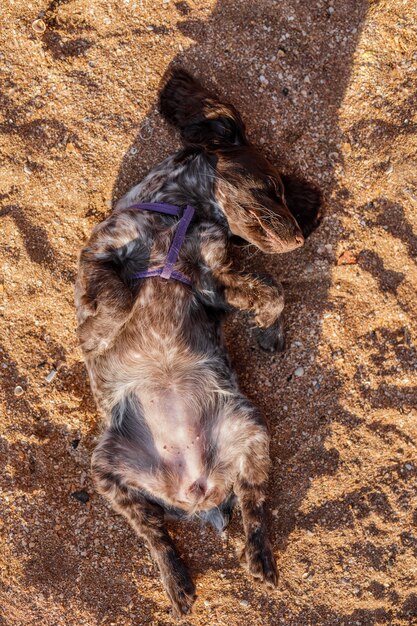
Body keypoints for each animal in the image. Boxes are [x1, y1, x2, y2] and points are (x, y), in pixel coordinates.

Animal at [75, 69, 320, 616]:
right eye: (272, 187)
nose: (300, 237)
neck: (181, 216)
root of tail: (195, 490)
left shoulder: (215, 281)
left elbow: (271, 291)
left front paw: (269, 332)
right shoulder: (100, 250)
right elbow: (117, 297)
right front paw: (95, 334)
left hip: (250, 430)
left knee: (252, 505)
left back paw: (257, 559)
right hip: (107, 470)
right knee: (155, 535)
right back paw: (178, 584)